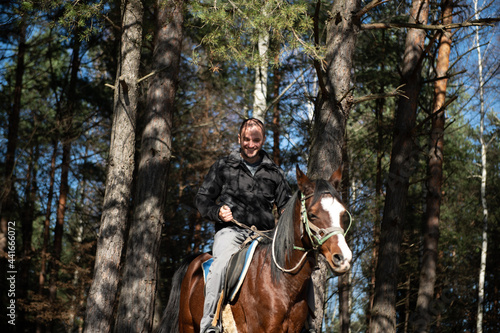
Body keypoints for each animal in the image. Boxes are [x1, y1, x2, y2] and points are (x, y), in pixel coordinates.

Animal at [158, 166, 354, 332]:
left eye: (343, 214)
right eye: (312, 214)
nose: (343, 258)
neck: (281, 281)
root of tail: (196, 260)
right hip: (187, 325)